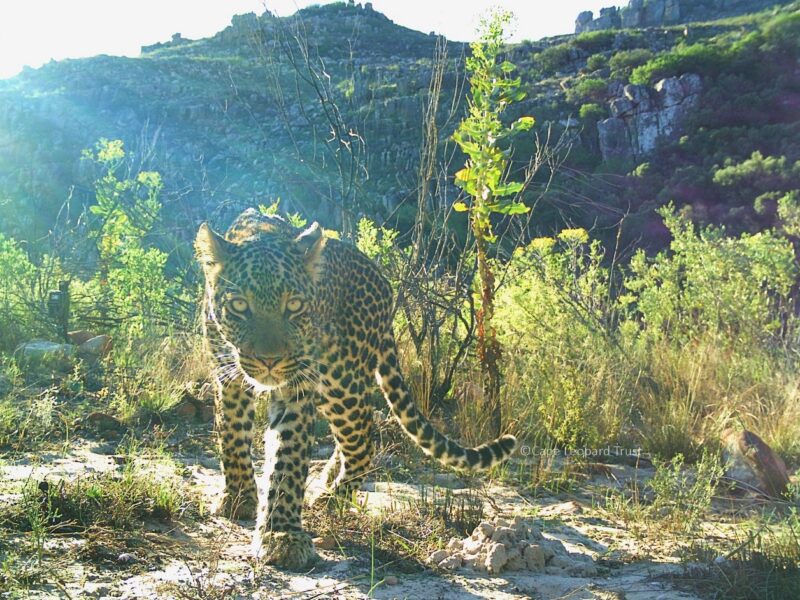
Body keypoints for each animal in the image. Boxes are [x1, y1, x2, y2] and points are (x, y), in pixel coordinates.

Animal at [195, 208, 517, 571]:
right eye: (239, 305)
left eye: (294, 306)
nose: (270, 361)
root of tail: (383, 281)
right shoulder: (227, 375)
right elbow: (232, 436)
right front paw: (239, 497)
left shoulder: (297, 388)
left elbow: (286, 460)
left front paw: (282, 535)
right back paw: (326, 480)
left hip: (341, 382)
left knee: (363, 440)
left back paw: (330, 499)